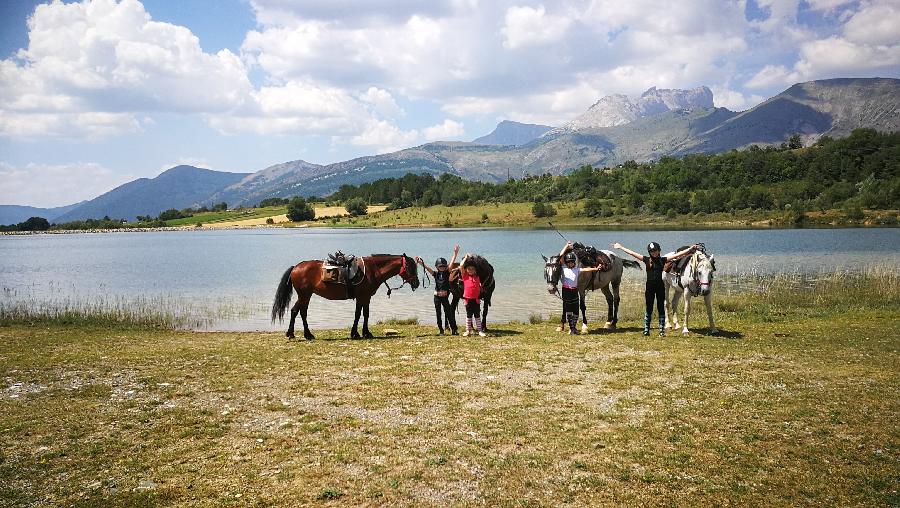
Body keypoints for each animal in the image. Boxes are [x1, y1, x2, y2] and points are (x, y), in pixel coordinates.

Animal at [268, 254, 420, 342]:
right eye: (410, 266)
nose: (417, 283)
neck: (373, 270)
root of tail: (296, 267)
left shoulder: (365, 298)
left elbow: (364, 314)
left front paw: (363, 333)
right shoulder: (362, 297)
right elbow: (360, 314)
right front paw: (359, 334)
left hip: (306, 296)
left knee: (302, 312)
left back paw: (307, 334)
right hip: (304, 295)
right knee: (296, 311)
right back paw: (293, 334)